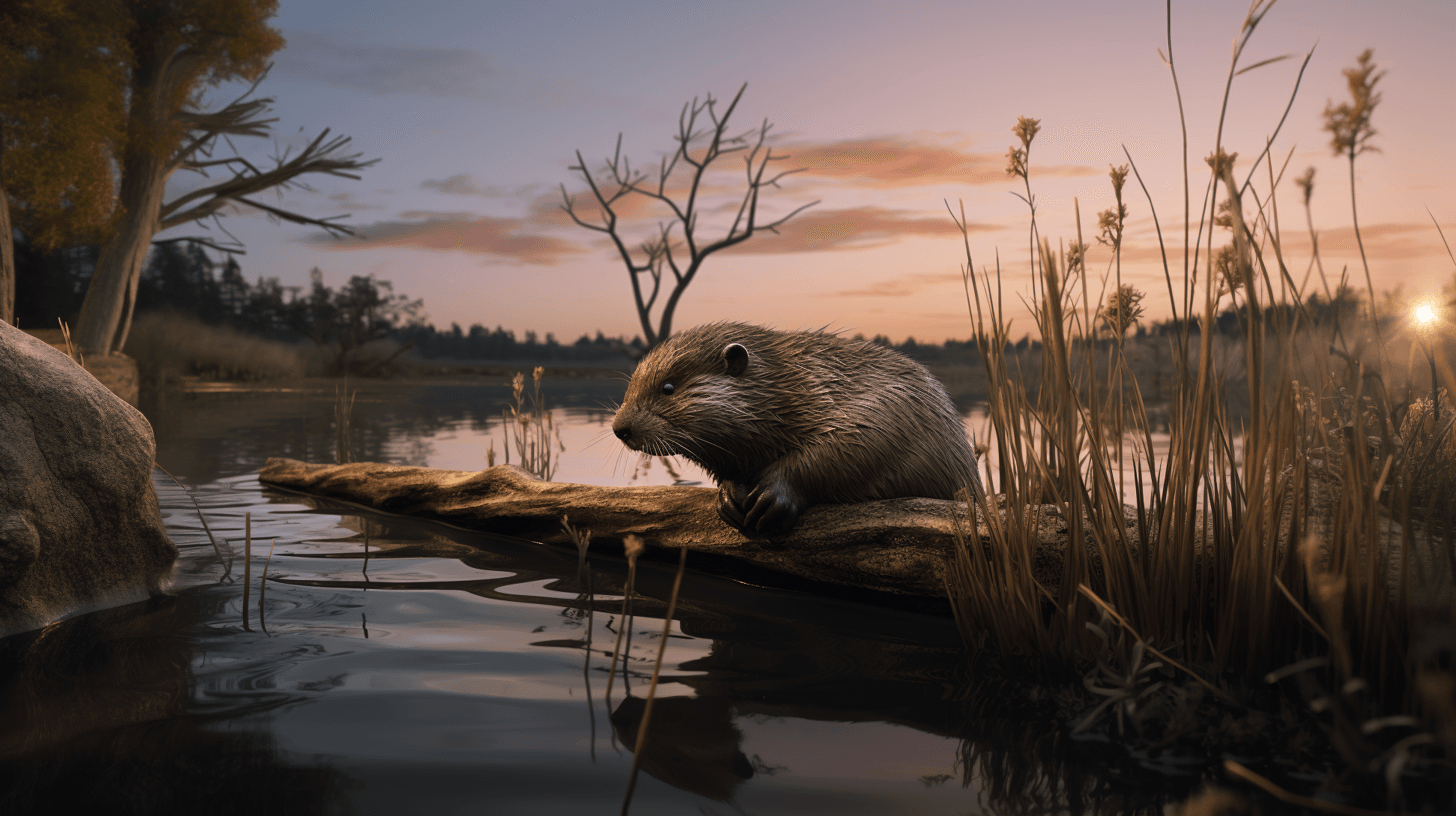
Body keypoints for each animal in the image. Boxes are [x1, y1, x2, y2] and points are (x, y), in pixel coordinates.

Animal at [608, 322, 984, 539]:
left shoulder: (887, 404)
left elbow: (850, 445)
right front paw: (729, 498)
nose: (619, 428)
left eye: (668, 387)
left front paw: (771, 498)